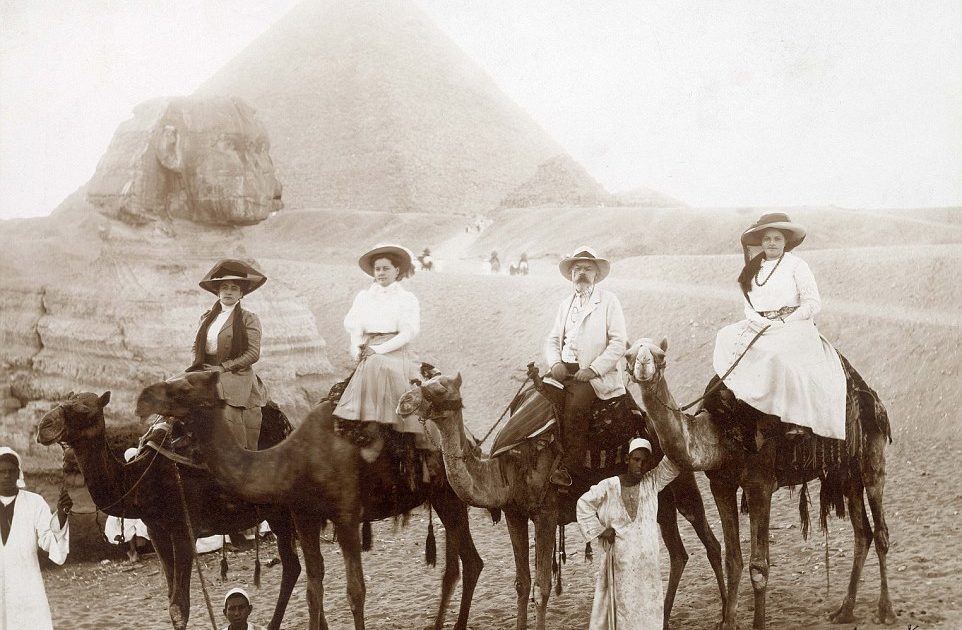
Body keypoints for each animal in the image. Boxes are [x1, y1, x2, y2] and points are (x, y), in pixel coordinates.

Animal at [35, 391, 301, 630]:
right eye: (62, 400)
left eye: (84, 409)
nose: (43, 426)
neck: (144, 478)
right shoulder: (157, 531)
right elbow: (172, 601)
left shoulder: (184, 528)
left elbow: (179, 607)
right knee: (294, 566)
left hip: (283, 509)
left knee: (294, 565)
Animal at [134, 370, 483, 630]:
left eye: (183, 387)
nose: (142, 400)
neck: (294, 461)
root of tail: (469, 438)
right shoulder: (304, 518)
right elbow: (313, 590)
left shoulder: (346, 516)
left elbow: (356, 591)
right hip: (442, 496)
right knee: (462, 564)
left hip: (449, 494)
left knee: (468, 562)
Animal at [397, 370, 728, 630]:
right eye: (422, 382)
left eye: (440, 388)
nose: (404, 402)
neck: (509, 468)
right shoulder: (514, 514)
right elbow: (522, 583)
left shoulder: (546, 513)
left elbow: (542, 586)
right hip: (661, 500)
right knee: (678, 553)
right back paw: (665, 617)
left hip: (681, 481)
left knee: (710, 541)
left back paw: (725, 614)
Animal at [626, 338, 895, 629]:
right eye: (628, 355)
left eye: (660, 356)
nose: (643, 366)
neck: (722, 430)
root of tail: (872, 395)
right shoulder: (721, 485)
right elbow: (733, 559)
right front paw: (728, 622)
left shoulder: (760, 485)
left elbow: (759, 565)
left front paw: (757, 622)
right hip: (846, 472)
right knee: (862, 533)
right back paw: (845, 611)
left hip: (872, 453)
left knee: (880, 531)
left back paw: (886, 611)